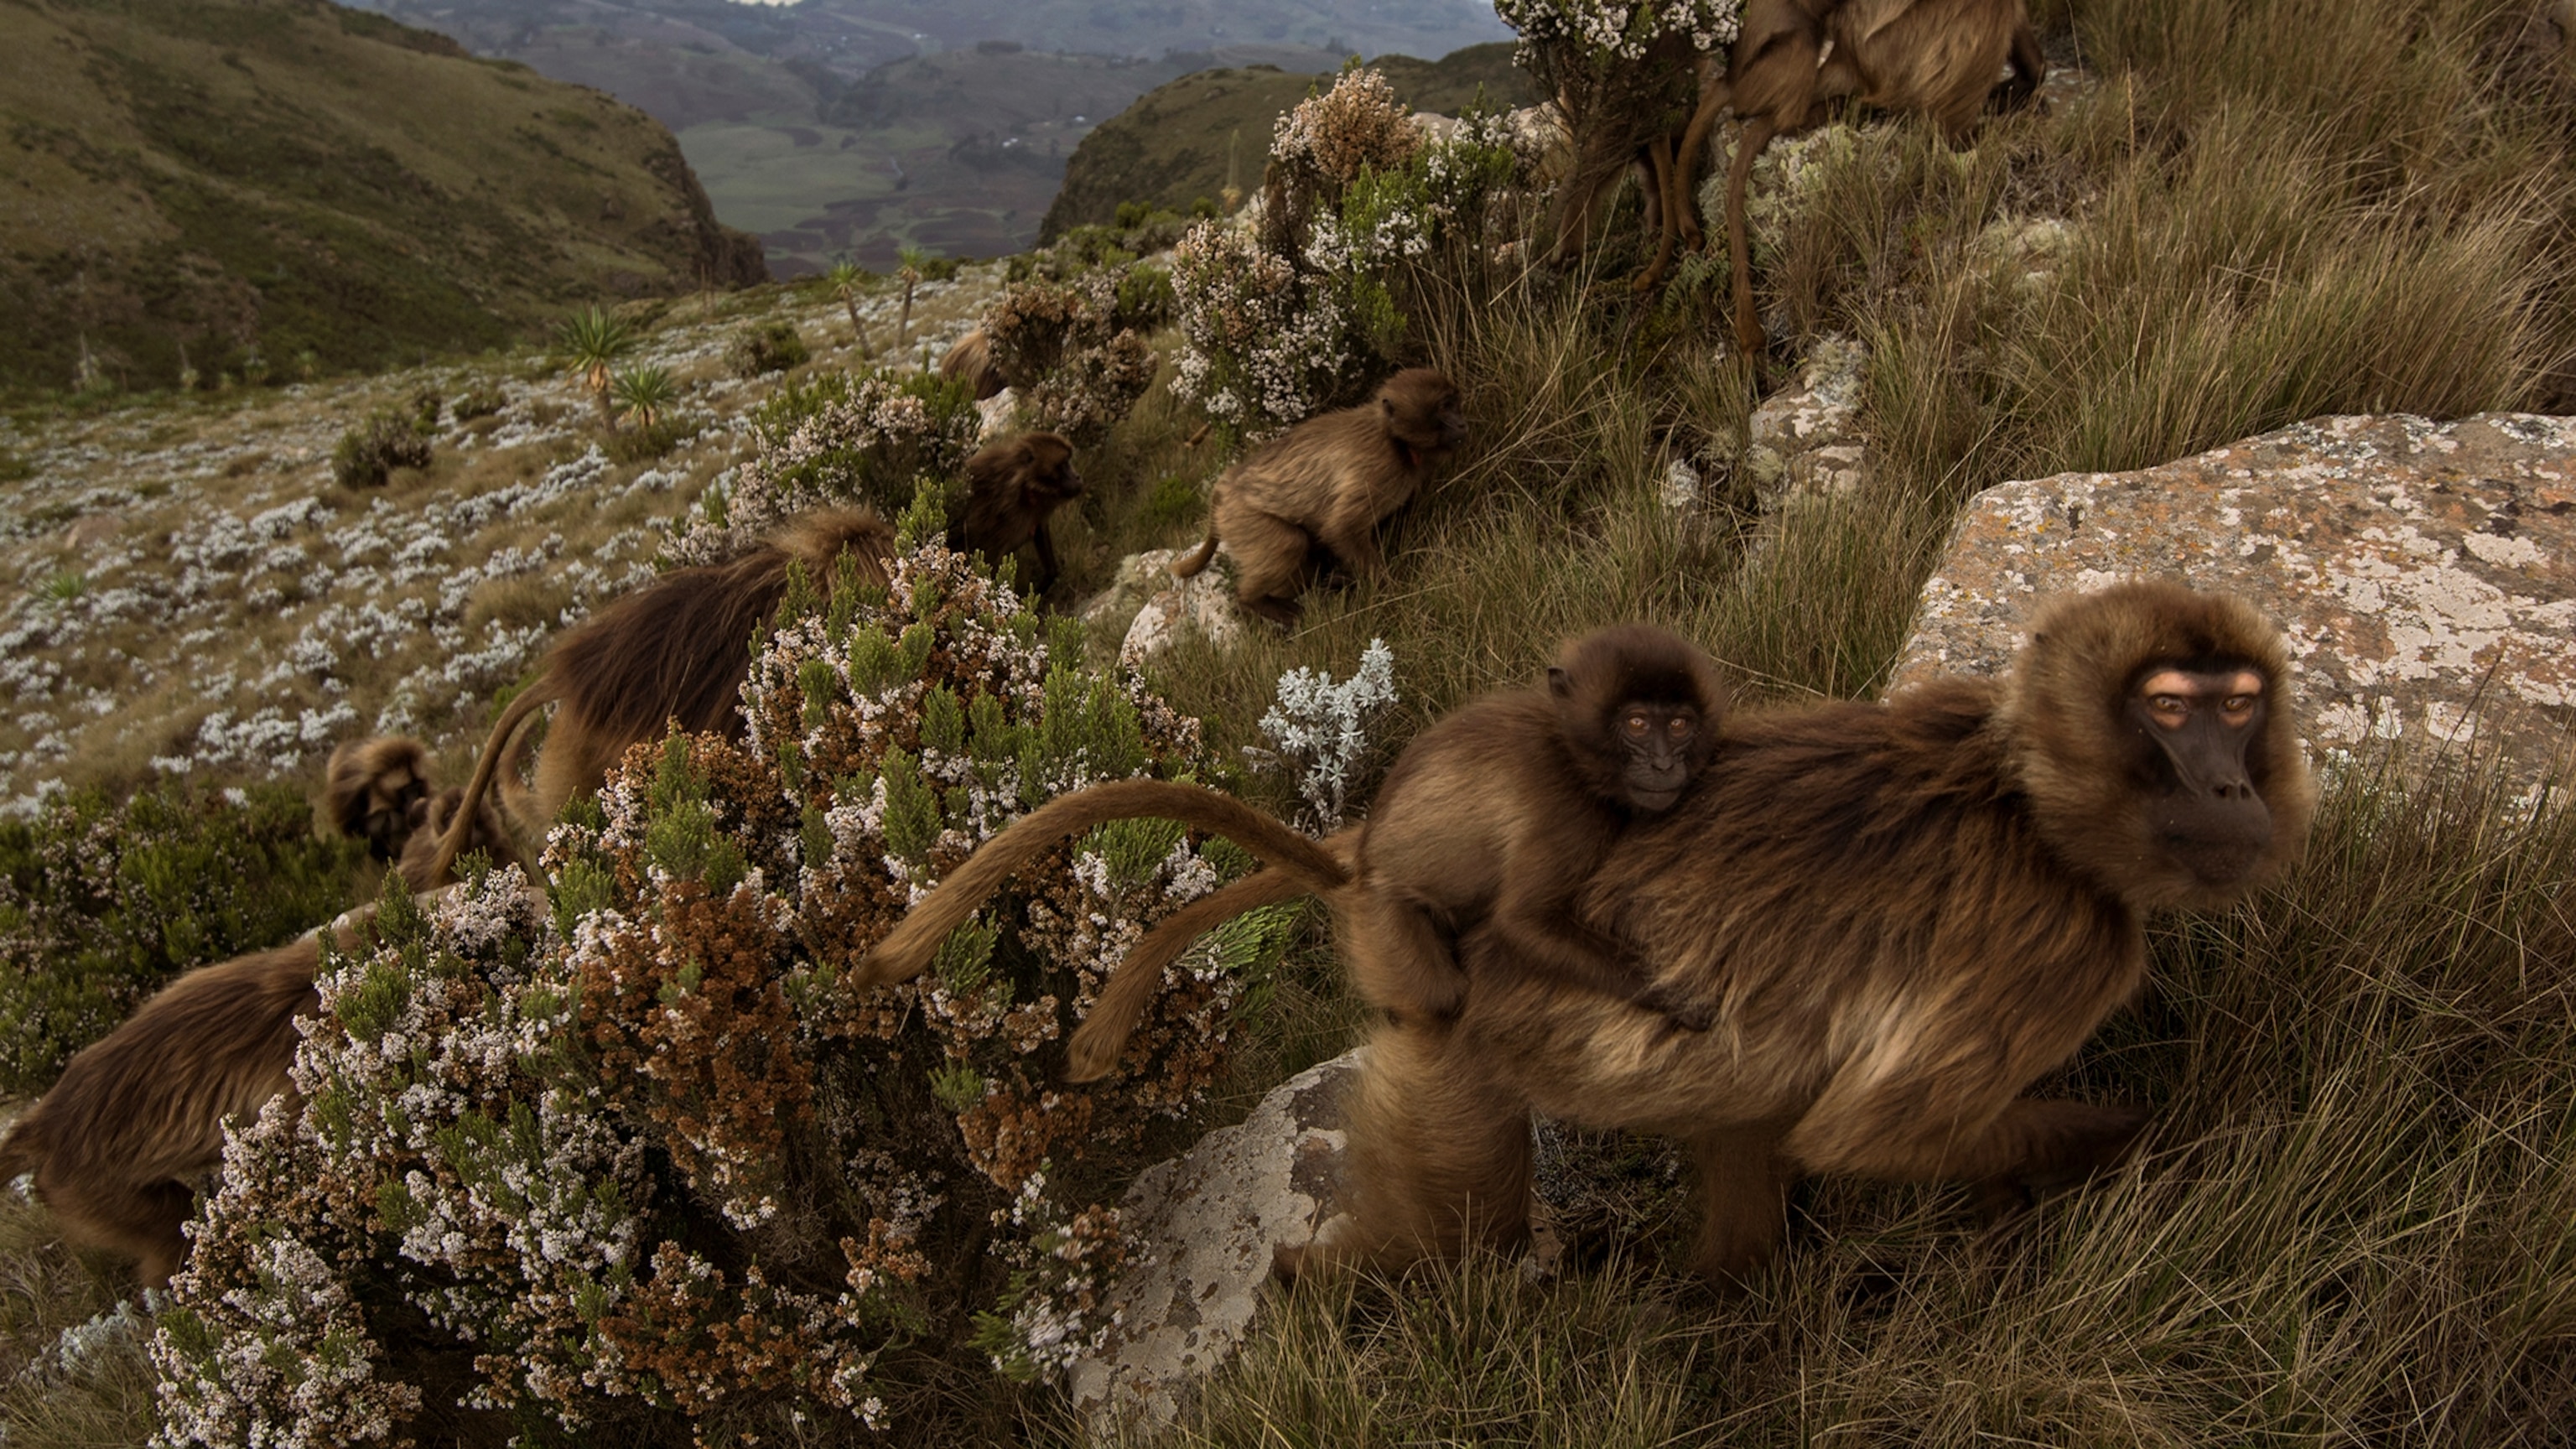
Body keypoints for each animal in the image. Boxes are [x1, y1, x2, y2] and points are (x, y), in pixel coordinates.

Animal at [862, 581, 2316, 1284]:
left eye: (2240, 703)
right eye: (2175, 708)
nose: (2234, 792)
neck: (2019, 785)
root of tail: (1359, 864)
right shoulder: (2059, 945)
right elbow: (1872, 1133)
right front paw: (2148, 1149)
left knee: (1739, 1115)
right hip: (1444, 1042)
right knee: (1463, 1234)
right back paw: (1327, 1293)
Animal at [951, 432, 1083, 593]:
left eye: (1068, 462)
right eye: (1064, 464)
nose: (1077, 477)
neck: (1025, 489)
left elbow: (1040, 530)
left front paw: (1048, 578)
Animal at [1171, 369, 1467, 627]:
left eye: (1455, 403)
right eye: (1444, 407)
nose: (1463, 424)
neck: (1395, 439)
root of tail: (1227, 482)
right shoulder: (1378, 466)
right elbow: (1342, 528)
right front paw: (1392, 594)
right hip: (1243, 517)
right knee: (1289, 544)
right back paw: (1254, 602)